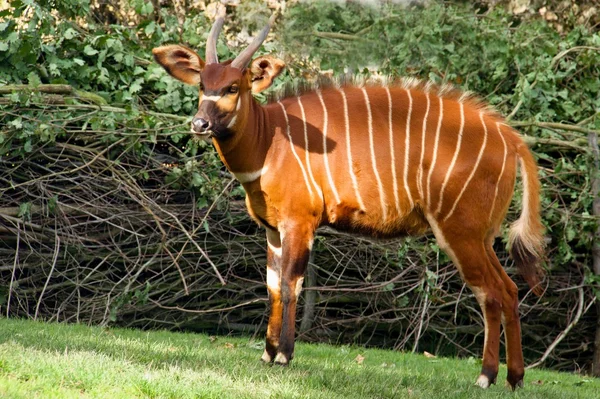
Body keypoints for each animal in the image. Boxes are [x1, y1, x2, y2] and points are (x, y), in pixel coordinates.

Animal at [154, 8, 544, 390]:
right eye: (203, 84)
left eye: (233, 87)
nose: (199, 124)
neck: (268, 141)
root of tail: (512, 140)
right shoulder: (273, 230)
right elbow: (272, 286)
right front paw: (266, 354)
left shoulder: (300, 222)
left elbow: (291, 283)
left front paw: (284, 355)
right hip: (482, 236)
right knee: (507, 290)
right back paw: (511, 378)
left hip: (460, 232)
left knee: (491, 291)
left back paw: (488, 376)